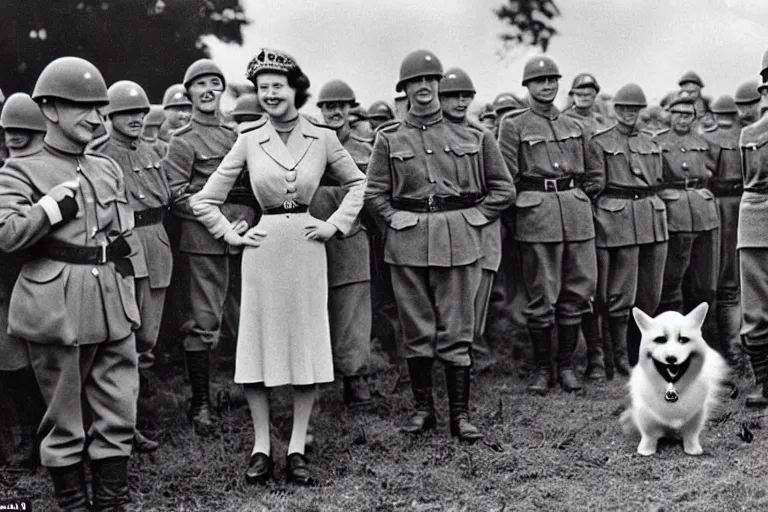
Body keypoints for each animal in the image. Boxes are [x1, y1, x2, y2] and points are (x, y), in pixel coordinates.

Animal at [620, 302, 728, 454]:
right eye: (660, 340)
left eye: (683, 340)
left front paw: (693, 450)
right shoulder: (646, 417)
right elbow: (648, 436)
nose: (671, 358)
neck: (672, 387)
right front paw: (646, 451)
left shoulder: (696, 417)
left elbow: (691, 435)